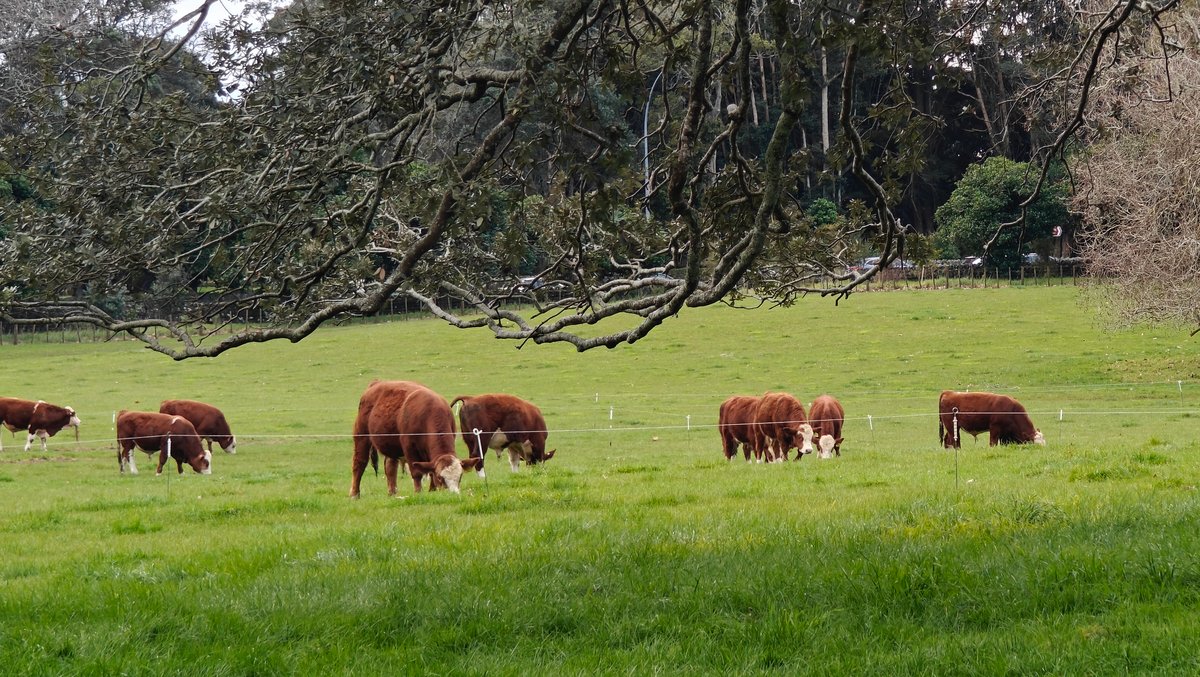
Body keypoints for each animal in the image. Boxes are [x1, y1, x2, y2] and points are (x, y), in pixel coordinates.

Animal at [350, 380, 482, 498]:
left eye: (460, 476)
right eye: (440, 477)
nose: (453, 494)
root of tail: (376, 383)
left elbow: (430, 470)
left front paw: (432, 491)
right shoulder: (409, 448)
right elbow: (417, 472)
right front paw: (418, 492)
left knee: (390, 466)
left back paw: (392, 493)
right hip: (361, 435)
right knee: (359, 463)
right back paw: (355, 494)